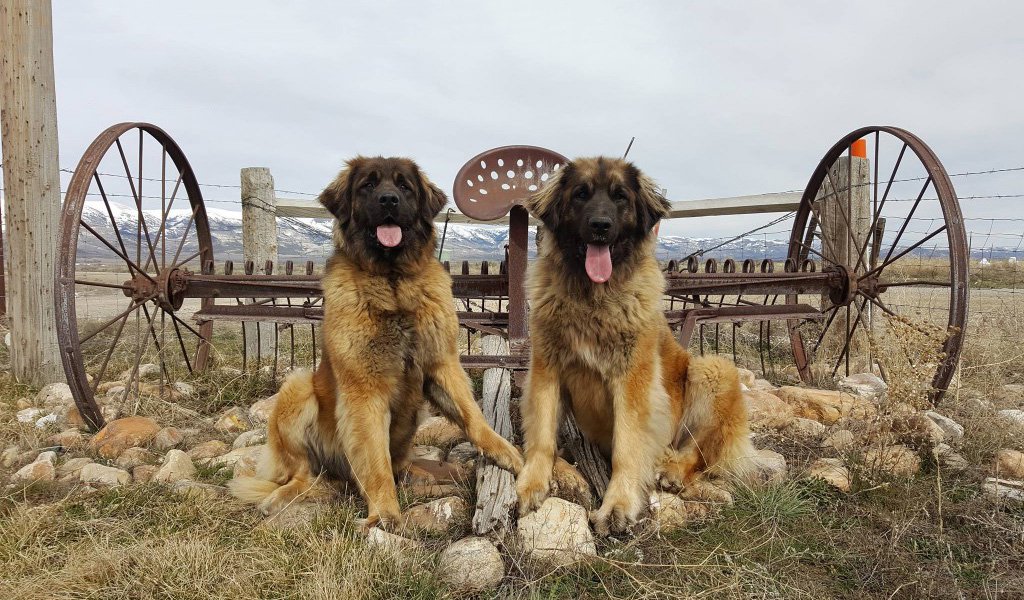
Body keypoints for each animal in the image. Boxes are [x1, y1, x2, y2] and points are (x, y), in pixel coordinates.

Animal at [229, 156, 524, 524]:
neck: (393, 282)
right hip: (298, 388)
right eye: (367, 185)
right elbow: (374, 458)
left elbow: (472, 415)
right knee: (303, 472)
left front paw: (506, 452)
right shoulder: (365, 390)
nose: (388, 201)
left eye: (404, 186)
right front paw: (384, 511)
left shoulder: (442, 365)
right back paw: (282, 495)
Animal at [516, 155, 757, 532]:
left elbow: (627, 448)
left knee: (700, 454)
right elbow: (541, 434)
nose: (601, 226)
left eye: (620, 197)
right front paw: (532, 483)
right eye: (581, 194)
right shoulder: (547, 369)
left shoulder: (633, 382)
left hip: (712, 369)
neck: (592, 298)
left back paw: (672, 468)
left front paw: (618, 504)